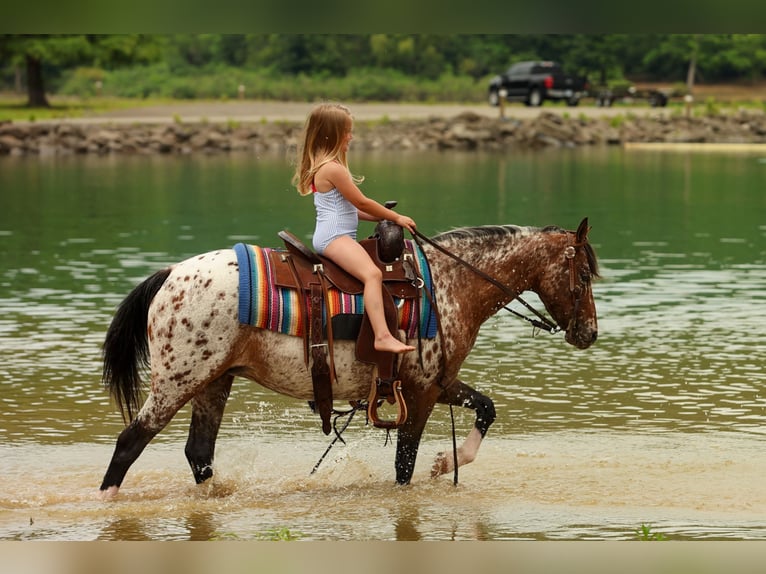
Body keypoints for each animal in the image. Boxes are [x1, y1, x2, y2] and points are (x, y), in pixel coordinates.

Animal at [99, 217, 599, 498]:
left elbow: (486, 408)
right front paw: (433, 467)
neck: (449, 283)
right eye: (583, 275)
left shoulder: (436, 384)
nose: (589, 333)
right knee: (129, 443)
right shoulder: (419, 394)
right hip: (178, 380)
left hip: (213, 381)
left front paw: (446, 463)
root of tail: (170, 274)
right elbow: (403, 465)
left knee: (199, 453)